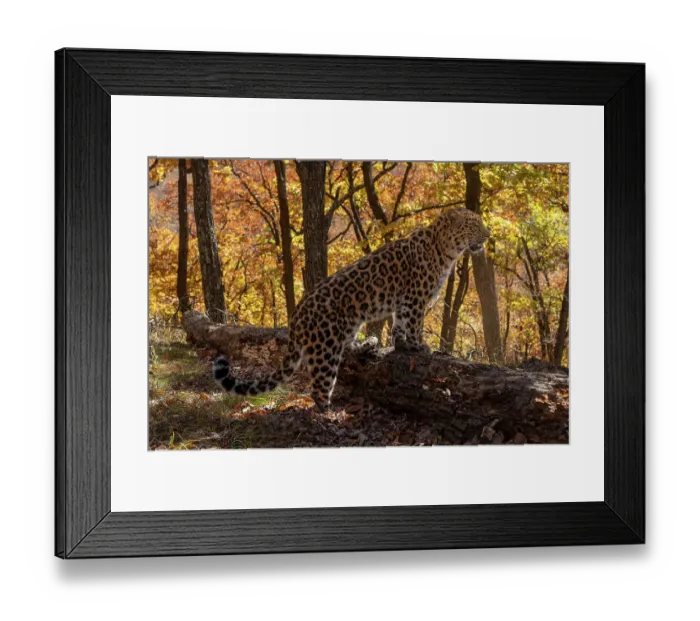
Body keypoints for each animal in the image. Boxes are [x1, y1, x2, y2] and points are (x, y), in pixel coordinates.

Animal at [213, 207, 490, 411]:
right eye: (474, 224)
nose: (487, 235)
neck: (446, 250)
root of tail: (296, 317)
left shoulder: (404, 300)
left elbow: (399, 323)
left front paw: (401, 344)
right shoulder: (415, 298)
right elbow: (413, 324)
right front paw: (418, 346)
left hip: (349, 325)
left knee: (347, 348)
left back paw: (368, 343)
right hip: (325, 346)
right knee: (319, 385)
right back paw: (330, 412)